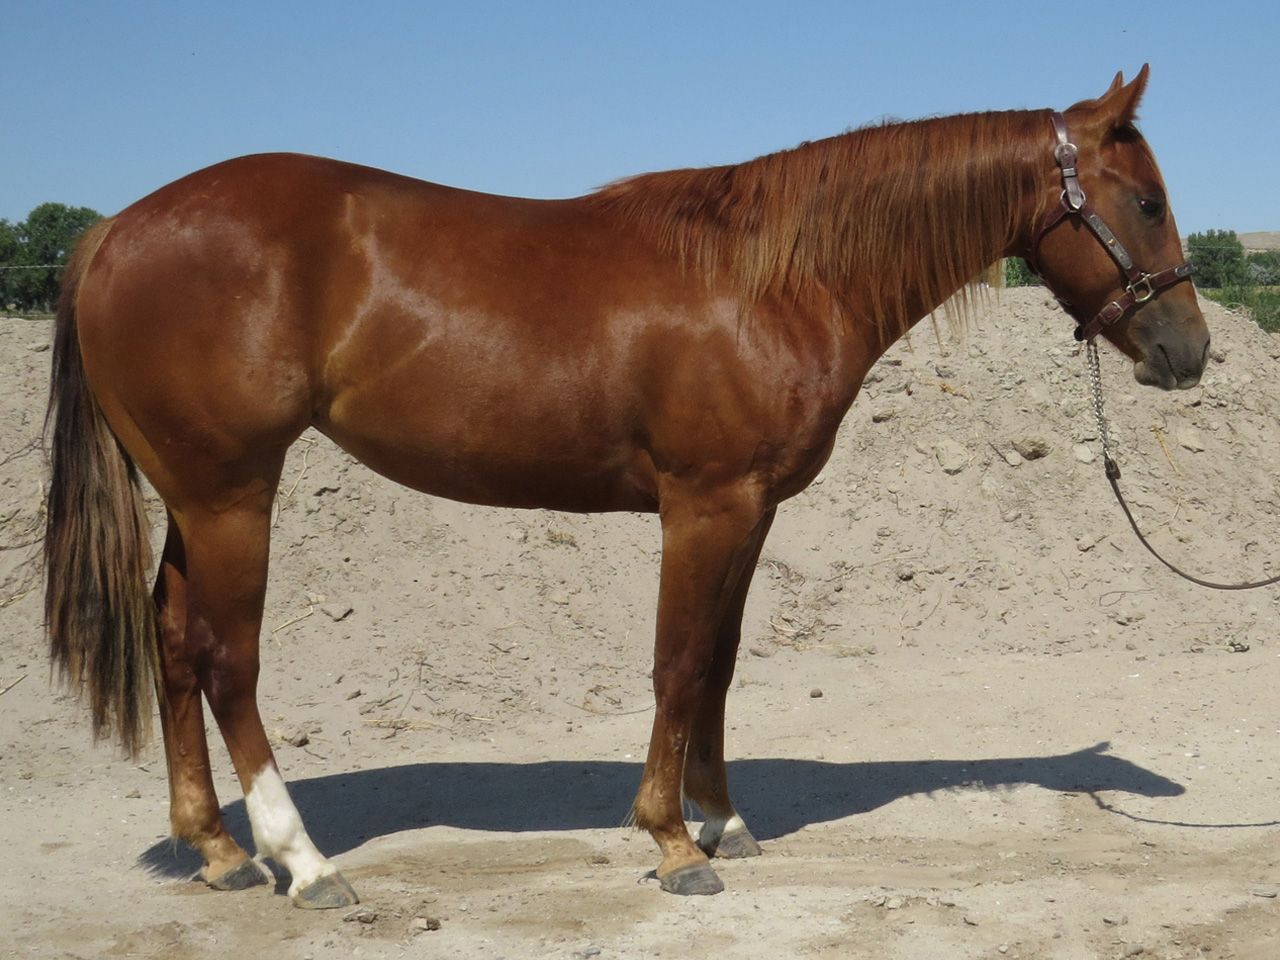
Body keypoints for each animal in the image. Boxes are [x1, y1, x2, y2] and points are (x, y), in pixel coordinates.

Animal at [44, 65, 1208, 906]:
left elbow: (719, 668)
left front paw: (723, 818)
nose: (1187, 352)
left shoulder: (750, 510)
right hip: (232, 495)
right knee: (226, 661)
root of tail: (111, 232)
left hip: (193, 501)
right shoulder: (704, 505)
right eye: (1147, 201)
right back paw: (303, 860)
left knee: (172, 643)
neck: (772, 276)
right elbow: (676, 663)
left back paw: (216, 849)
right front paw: (672, 841)